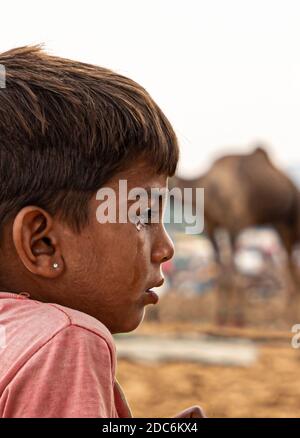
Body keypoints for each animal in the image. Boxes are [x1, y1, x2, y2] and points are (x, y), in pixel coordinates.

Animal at [170, 147, 300, 326]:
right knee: (290, 263)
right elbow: (221, 271)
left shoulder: (235, 224)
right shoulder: (211, 226)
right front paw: (220, 318)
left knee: (290, 264)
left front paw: (238, 318)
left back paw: (289, 317)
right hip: (279, 224)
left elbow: (235, 272)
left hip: (290, 220)